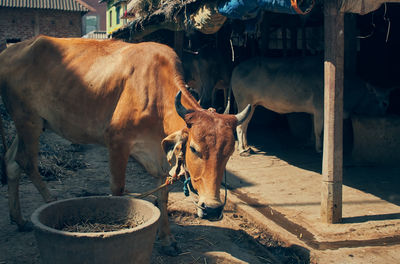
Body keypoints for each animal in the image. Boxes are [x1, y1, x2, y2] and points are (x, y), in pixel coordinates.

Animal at [0, 36, 250, 255]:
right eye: (194, 149)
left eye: (229, 153)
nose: (213, 209)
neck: (155, 93)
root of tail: (7, 51)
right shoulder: (117, 142)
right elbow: (118, 190)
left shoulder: (160, 154)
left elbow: (163, 196)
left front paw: (167, 240)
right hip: (28, 120)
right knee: (25, 161)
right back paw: (51, 202)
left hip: (33, 123)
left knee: (11, 161)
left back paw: (19, 219)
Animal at [227, 55, 392, 155]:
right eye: (384, 103)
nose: (385, 115)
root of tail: (236, 68)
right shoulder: (321, 109)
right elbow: (320, 130)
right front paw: (319, 149)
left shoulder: (314, 112)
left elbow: (313, 128)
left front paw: (310, 142)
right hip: (244, 102)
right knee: (240, 126)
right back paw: (242, 149)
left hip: (252, 106)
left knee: (245, 126)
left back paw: (246, 146)